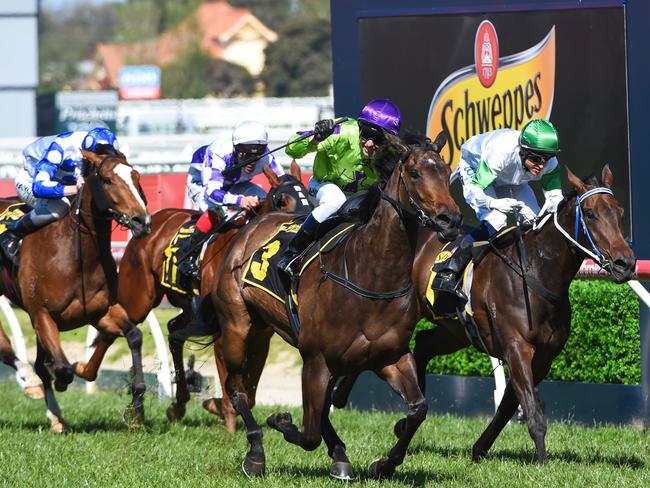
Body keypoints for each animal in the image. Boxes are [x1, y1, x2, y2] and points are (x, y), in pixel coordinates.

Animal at [0, 149, 151, 430]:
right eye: (107, 180)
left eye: (136, 178)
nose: (142, 221)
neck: (76, 257)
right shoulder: (41, 314)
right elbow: (60, 367)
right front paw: (59, 381)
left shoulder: (100, 312)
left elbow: (134, 336)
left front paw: (136, 408)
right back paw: (30, 382)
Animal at [73, 161, 312, 430]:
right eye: (282, 201)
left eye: (310, 196)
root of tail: (151, 220)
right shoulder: (225, 327)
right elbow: (231, 378)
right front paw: (227, 415)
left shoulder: (262, 335)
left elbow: (250, 390)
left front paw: (217, 406)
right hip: (139, 297)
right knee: (113, 331)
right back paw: (89, 374)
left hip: (188, 307)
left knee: (173, 332)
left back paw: (178, 404)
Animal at [213, 133, 460, 480]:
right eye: (414, 173)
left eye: (446, 171)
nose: (451, 219)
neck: (371, 275)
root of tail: (255, 222)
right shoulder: (315, 358)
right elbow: (308, 434)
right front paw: (280, 420)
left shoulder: (391, 356)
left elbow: (418, 410)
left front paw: (383, 464)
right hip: (238, 325)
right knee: (237, 388)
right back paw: (256, 453)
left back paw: (339, 455)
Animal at [334, 163, 632, 462]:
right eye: (591, 214)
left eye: (619, 212)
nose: (625, 264)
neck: (536, 272)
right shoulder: (517, 347)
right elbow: (532, 410)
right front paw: (542, 462)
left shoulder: (544, 357)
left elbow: (509, 407)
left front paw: (480, 448)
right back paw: (340, 395)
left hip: (456, 330)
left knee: (423, 344)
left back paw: (402, 419)